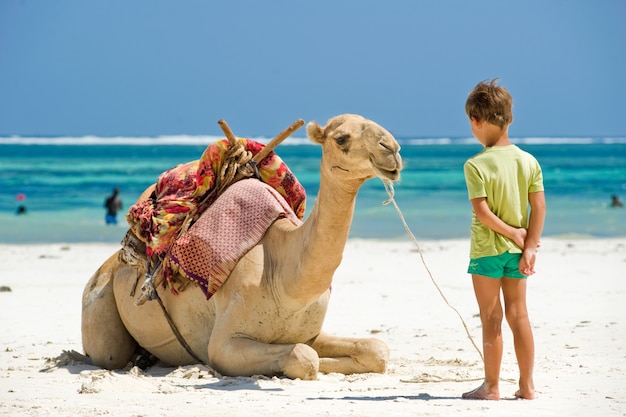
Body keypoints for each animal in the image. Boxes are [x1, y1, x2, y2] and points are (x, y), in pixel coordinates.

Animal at [80, 112, 402, 378]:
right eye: (341, 138)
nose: (393, 150)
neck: (284, 279)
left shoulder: (310, 332)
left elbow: (375, 350)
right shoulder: (224, 345)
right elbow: (305, 357)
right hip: (99, 305)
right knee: (108, 354)